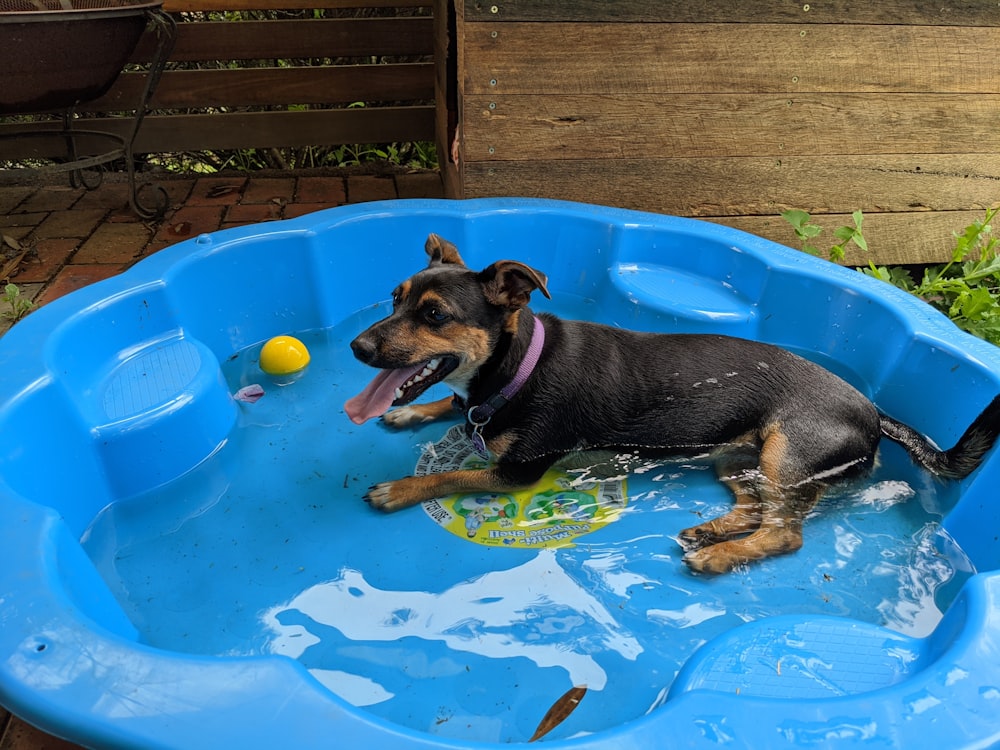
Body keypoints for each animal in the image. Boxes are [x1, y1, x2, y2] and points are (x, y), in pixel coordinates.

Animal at [346, 235, 1000, 576]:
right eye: (394, 299)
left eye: (434, 315)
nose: (357, 347)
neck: (517, 366)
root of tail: (874, 413)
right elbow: (453, 408)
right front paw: (412, 412)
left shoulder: (518, 473)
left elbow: (451, 474)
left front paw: (398, 488)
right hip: (737, 456)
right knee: (756, 505)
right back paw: (710, 531)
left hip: (788, 450)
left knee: (785, 532)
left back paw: (719, 556)